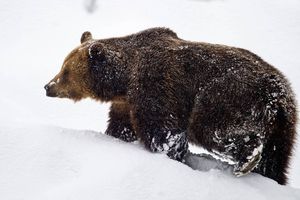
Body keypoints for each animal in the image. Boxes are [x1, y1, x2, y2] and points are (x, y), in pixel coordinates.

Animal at [44, 27, 298, 185]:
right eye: (62, 65)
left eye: (65, 72)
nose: (48, 86)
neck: (124, 80)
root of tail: (277, 95)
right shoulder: (125, 103)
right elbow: (121, 127)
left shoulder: (156, 86)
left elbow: (164, 131)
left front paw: (169, 154)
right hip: (285, 126)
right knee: (275, 160)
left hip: (226, 96)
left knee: (213, 129)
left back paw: (246, 159)